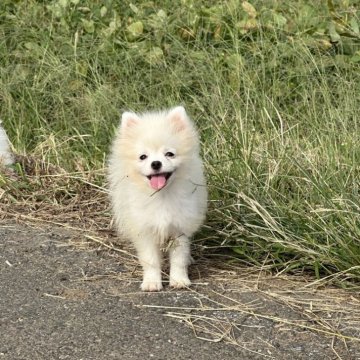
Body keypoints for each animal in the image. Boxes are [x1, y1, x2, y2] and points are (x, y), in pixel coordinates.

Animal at [108, 105, 207, 292]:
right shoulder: (145, 230)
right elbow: (151, 261)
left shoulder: (179, 228)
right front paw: (151, 282)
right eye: (143, 157)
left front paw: (179, 280)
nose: (156, 163)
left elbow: (179, 259)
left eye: (169, 154)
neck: (161, 196)